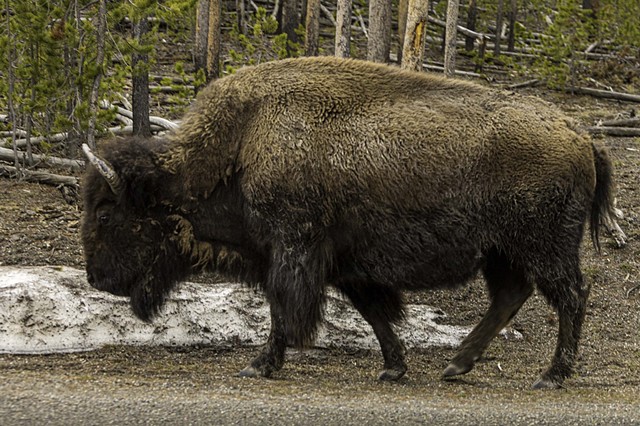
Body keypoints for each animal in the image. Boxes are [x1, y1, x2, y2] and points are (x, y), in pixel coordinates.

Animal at [82, 56, 616, 390]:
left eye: (107, 211)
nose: (96, 278)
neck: (239, 144)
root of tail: (582, 136)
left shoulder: (292, 252)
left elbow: (284, 309)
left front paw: (260, 365)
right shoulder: (347, 266)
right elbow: (375, 314)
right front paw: (394, 369)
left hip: (543, 247)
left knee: (570, 296)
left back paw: (549, 375)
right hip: (504, 253)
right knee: (510, 297)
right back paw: (455, 365)